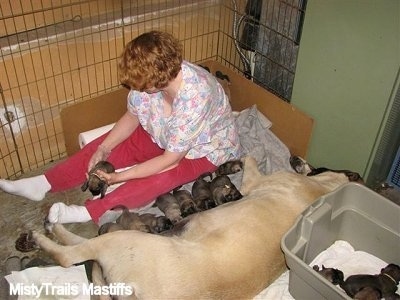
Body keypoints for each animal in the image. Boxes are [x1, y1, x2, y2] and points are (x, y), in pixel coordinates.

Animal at [31, 157, 356, 300]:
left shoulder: (256, 182)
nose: (295, 158)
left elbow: (249, 159)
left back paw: (45, 232)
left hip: (124, 241)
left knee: (71, 254)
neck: (323, 190)